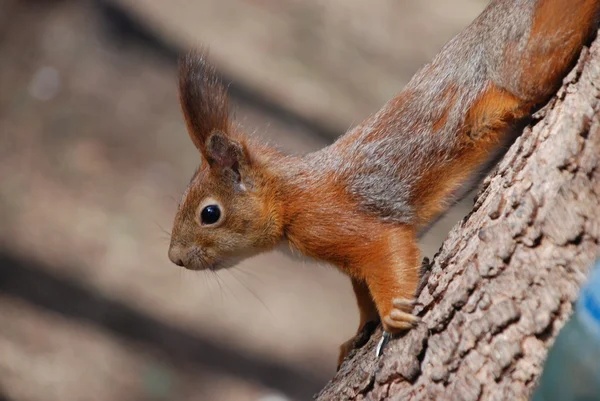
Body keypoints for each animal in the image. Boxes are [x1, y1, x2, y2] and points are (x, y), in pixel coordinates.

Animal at [165, 0, 600, 368]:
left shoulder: (341, 222)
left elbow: (386, 251)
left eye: (209, 213)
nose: (175, 258)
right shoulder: (349, 261)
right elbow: (361, 293)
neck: (288, 198)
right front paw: (357, 334)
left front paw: (393, 314)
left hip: (523, 68)